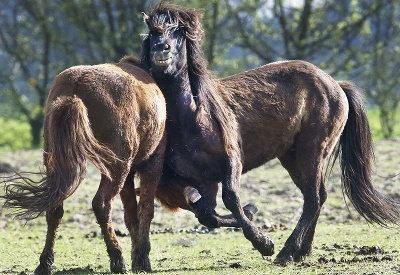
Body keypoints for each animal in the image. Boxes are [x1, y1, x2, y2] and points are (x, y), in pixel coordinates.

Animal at [0, 56, 166, 274]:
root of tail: (76, 88)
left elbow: (131, 213)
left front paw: (137, 255)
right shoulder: (151, 164)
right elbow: (145, 210)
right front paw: (142, 258)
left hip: (58, 163)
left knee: (55, 209)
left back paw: (45, 263)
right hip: (116, 167)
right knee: (102, 205)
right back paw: (117, 259)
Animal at [139, 3, 398, 268]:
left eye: (179, 32)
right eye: (152, 32)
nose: (161, 49)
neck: (192, 118)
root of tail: (335, 84)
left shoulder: (231, 161)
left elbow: (231, 198)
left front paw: (264, 243)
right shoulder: (202, 179)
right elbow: (207, 215)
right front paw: (253, 215)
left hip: (312, 150)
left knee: (313, 197)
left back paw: (286, 252)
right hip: (292, 157)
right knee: (317, 196)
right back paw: (301, 251)